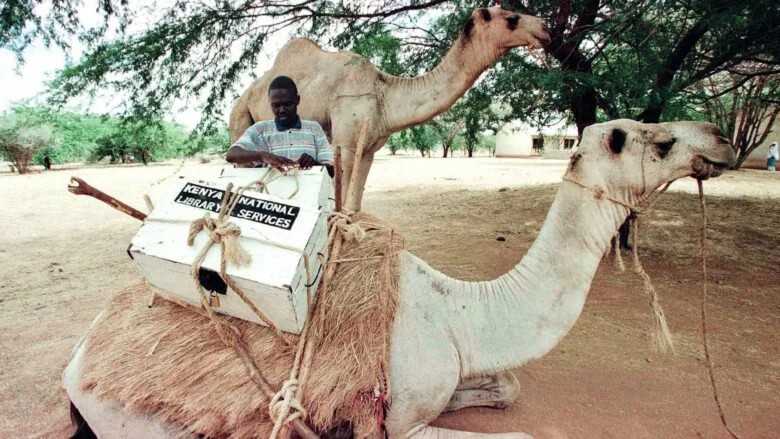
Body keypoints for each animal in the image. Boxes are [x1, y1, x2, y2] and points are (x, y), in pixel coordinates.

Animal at [63, 119, 734, 438]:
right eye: (642, 138)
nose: (720, 138)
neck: (464, 312)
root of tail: (78, 359)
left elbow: (508, 386)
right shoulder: (399, 423)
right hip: (130, 417)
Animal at [229, 7, 550, 210]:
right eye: (512, 18)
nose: (545, 30)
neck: (385, 92)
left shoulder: (369, 150)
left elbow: (354, 206)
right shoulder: (346, 144)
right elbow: (343, 204)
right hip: (239, 117)